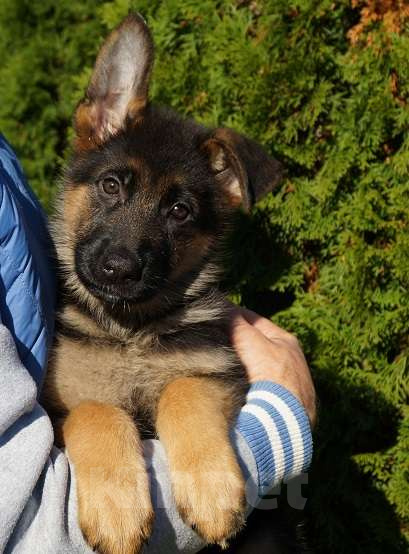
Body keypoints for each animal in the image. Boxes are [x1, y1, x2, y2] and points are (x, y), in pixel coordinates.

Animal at [42, 12, 280, 552]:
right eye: (111, 185)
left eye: (180, 211)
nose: (119, 268)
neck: (129, 329)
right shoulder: (60, 406)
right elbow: (96, 410)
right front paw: (117, 506)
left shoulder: (219, 373)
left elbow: (183, 389)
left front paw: (212, 489)